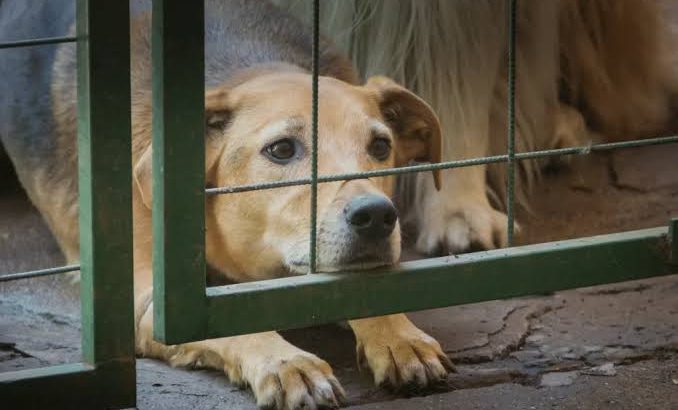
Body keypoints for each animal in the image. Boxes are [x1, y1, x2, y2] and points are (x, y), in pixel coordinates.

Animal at [1, 0, 456, 408]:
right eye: (282, 149)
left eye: (380, 146)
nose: (376, 215)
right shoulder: (149, 295)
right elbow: (220, 322)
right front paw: (286, 361)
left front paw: (399, 336)